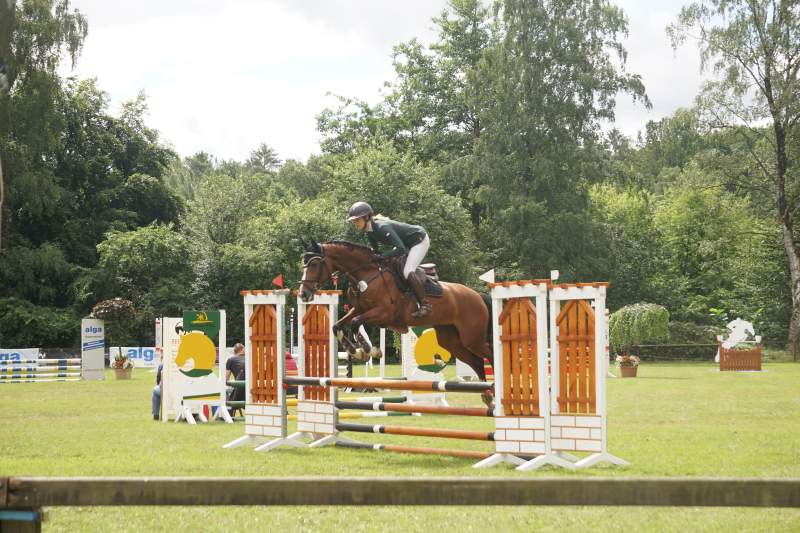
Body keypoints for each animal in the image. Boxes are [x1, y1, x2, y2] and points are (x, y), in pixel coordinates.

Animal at [299, 240, 493, 403]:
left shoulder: (384, 314)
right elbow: (337, 325)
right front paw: (354, 350)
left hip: (471, 338)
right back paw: (487, 395)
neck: (366, 275)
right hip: (451, 340)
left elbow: (354, 323)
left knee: (488, 355)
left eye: (314, 264)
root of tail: (477, 295)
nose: (303, 294)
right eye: (304, 263)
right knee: (476, 361)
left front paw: (367, 350)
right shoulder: (359, 309)